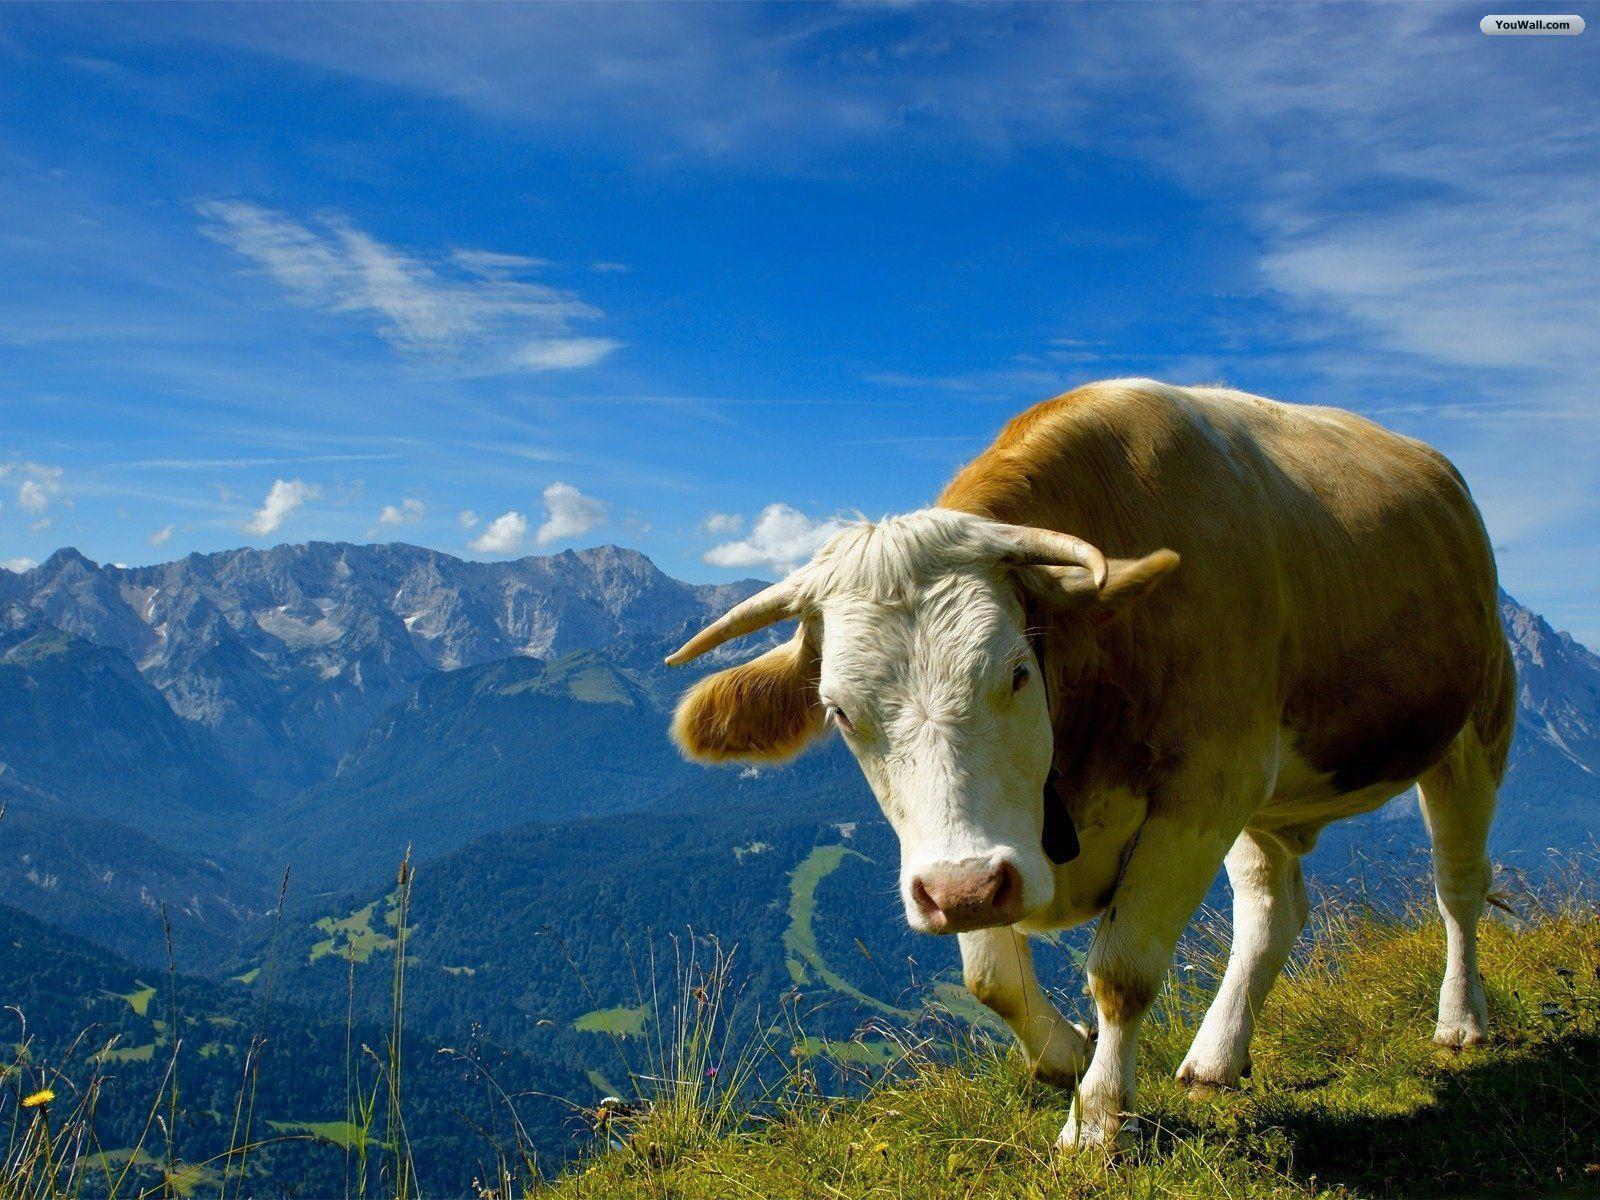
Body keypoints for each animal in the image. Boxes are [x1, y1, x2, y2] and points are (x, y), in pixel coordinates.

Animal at [664, 378, 1514, 1150]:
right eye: (840, 711)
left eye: (1016, 672)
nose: (962, 890)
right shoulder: (997, 848)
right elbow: (990, 977)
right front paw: (1069, 1054)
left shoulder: (1201, 793)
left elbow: (1122, 972)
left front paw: (1099, 1120)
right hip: (1267, 801)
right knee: (1273, 907)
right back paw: (1217, 1056)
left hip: (1475, 728)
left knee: (1458, 886)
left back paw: (1461, 1019)